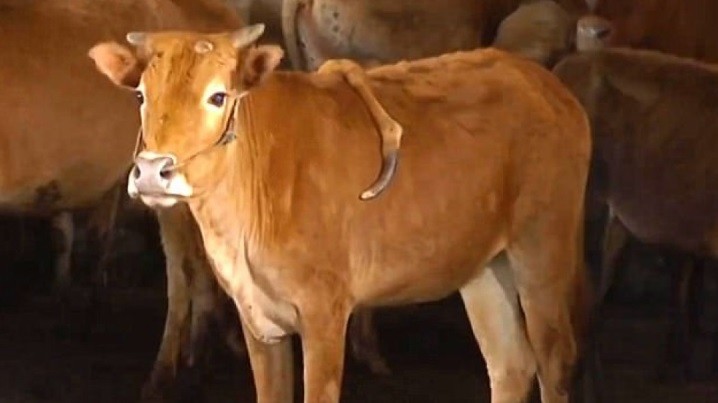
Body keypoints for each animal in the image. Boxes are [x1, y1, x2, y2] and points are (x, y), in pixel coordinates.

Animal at [90, 23, 593, 403]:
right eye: (140, 95)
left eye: (218, 96)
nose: (152, 172)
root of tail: (541, 79)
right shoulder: (257, 319)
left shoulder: (325, 313)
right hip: (483, 265)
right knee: (510, 365)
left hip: (543, 248)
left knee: (555, 359)